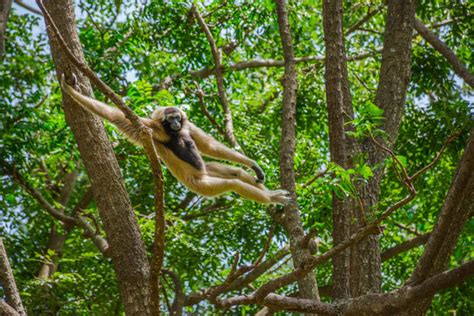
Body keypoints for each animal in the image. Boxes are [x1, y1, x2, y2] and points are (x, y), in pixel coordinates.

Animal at [60, 76, 292, 205]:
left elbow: (208, 145)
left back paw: (268, 191)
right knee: (233, 183)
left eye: (177, 118)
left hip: (207, 172)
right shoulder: (149, 128)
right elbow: (116, 116)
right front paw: (70, 90)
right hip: (202, 184)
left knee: (235, 172)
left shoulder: (187, 127)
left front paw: (254, 165)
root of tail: (202, 175)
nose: (175, 123)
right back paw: (272, 198)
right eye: (169, 119)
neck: (173, 134)